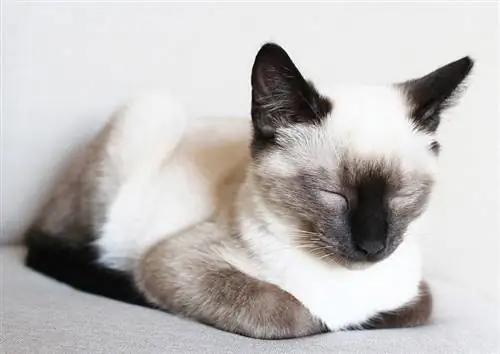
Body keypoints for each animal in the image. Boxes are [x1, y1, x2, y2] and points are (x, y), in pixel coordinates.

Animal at [26, 42, 472, 338]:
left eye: (402, 195)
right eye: (333, 194)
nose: (372, 246)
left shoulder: (413, 292)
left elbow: (416, 307)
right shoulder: (173, 260)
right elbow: (295, 315)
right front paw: (327, 322)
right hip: (149, 115)